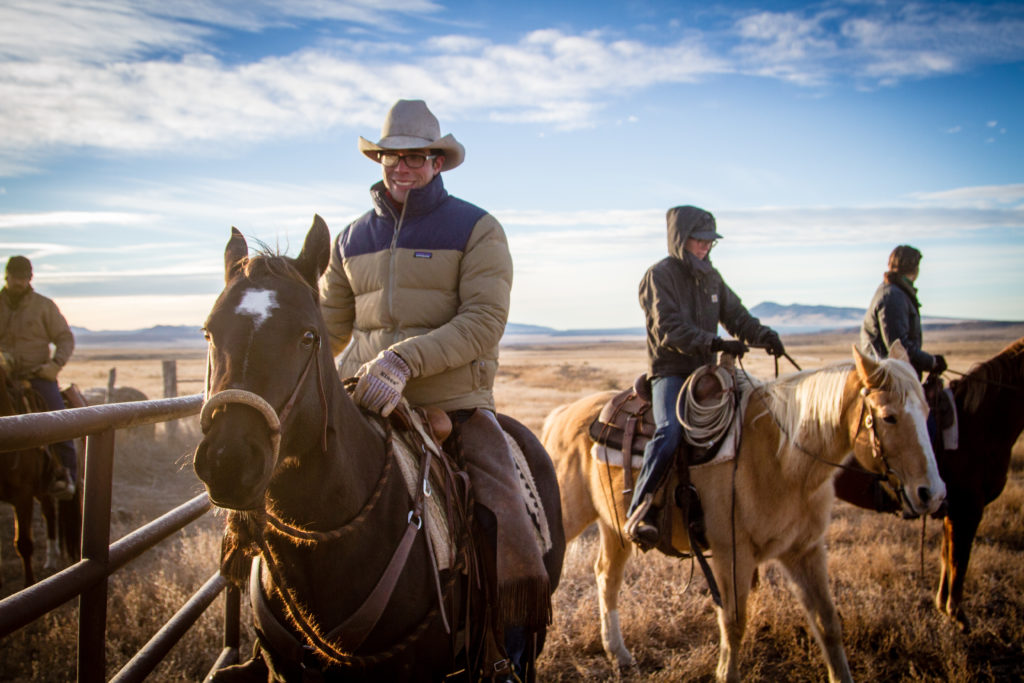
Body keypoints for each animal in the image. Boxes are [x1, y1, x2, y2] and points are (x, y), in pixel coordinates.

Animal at [540, 344, 946, 683]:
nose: (933, 493)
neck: (783, 458)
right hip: (568, 516)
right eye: (889, 417)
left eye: (929, 411)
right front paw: (726, 673)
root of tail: (562, 414)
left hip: (616, 526)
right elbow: (734, 623)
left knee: (607, 577)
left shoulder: (806, 552)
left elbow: (828, 624)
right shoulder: (731, 554)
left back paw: (619, 655)